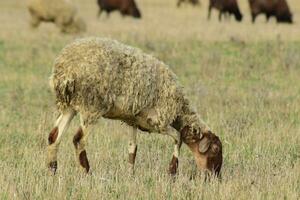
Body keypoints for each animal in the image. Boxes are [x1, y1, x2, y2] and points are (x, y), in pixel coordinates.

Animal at [45, 37, 221, 177]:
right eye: (215, 149)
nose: (215, 177)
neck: (178, 111)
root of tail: (65, 70)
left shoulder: (132, 120)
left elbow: (133, 149)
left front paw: (130, 174)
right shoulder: (157, 121)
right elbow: (178, 137)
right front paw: (172, 171)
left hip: (69, 106)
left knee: (54, 136)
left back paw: (52, 169)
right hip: (90, 106)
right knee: (78, 140)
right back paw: (86, 172)